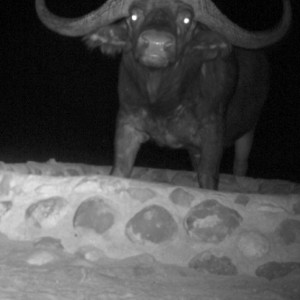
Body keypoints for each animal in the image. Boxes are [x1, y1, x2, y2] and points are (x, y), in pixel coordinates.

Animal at [35, 0, 290, 190]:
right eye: (134, 15)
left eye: (186, 19)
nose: (156, 45)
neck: (163, 101)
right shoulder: (127, 125)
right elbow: (119, 170)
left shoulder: (213, 134)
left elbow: (208, 179)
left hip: (248, 132)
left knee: (240, 165)